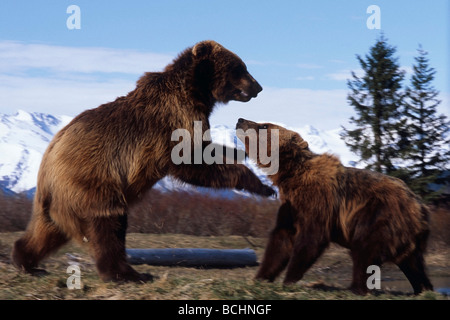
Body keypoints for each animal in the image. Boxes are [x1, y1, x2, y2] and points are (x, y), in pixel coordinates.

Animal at [12, 40, 274, 282]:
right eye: (240, 67)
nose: (258, 87)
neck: (197, 92)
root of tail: (48, 158)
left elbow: (206, 148)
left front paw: (241, 151)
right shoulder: (173, 122)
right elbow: (190, 162)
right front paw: (262, 186)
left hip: (59, 199)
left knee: (46, 232)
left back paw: (27, 262)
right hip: (91, 180)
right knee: (109, 223)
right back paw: (127, 273)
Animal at [236, 118, 432, 296]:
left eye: (264, 125)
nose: (240, 120)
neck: (291, 175)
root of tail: (421, 207)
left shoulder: (319, 199)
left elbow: (311, 238)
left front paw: (289, 279)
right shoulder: (291, 205)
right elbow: (281, 239)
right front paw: (261, 277)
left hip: (380, 214)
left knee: (365, 249)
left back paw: (356, 288)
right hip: (406, 235)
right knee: (414, 265)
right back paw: (423, 289)